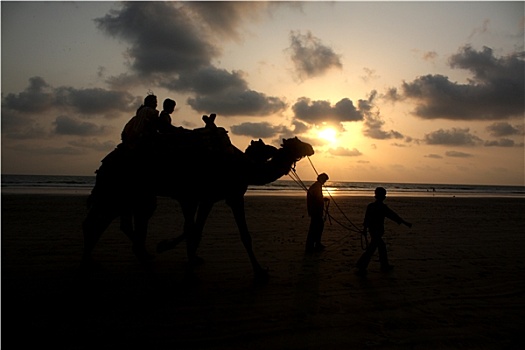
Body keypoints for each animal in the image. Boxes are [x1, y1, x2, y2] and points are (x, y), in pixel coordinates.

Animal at [80, 116, 314, 280]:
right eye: (297, 142)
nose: (311, 147)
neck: (243, 167)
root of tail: (105, 162)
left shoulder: (207, 197)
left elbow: (196, 230)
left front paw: (184, 255)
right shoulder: (230, 195)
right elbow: (241, 234)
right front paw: (260, 272)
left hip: (123, 193)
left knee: (103, 221)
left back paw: (94, 260)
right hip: (120, 190)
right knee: (101, 221)